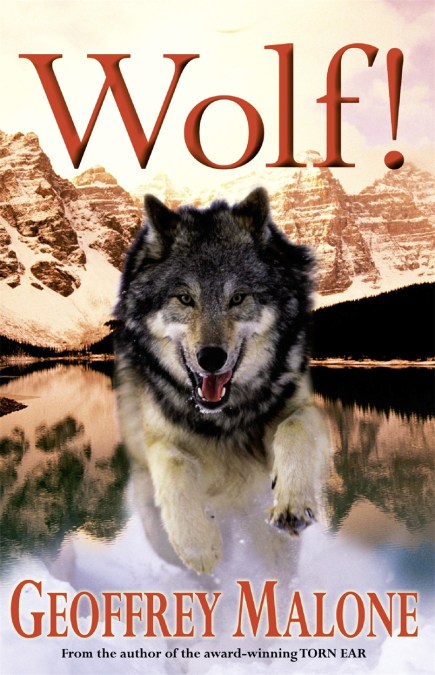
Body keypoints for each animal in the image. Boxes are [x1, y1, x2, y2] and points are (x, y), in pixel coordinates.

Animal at [114, 188, 329, 573]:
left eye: (238, 298)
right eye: (185, 298)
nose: (211, 358)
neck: (222, 419)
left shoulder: (302, 406)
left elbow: (295, 428)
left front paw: (291, 502)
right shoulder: (158, 437)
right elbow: (173, 467)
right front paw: (199, 544)